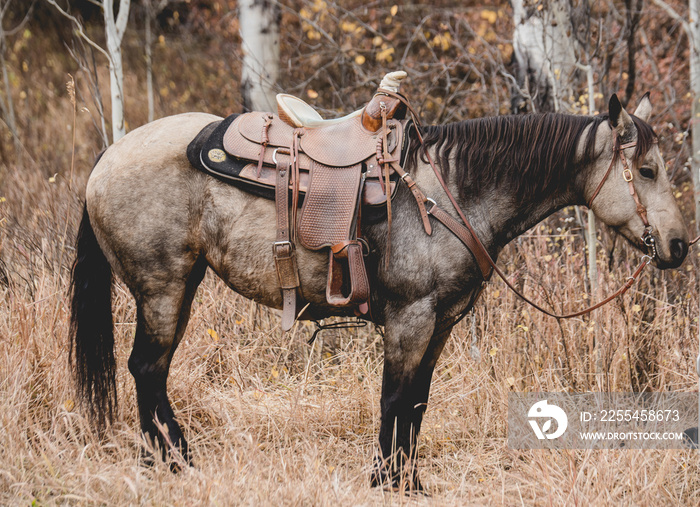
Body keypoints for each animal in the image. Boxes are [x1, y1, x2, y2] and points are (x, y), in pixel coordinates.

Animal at [69, 92, 688, 492]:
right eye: (648, 170)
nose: (680, 245)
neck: (450, 191)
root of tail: (107, 156)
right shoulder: (410, 319)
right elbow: (393, 398)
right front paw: (384, 480)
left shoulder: (439, 324)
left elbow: (416, 403)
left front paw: (408, 482)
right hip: (162, 287)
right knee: (147, 368)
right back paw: (174, 462)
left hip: (180, 285)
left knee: (150, 371)